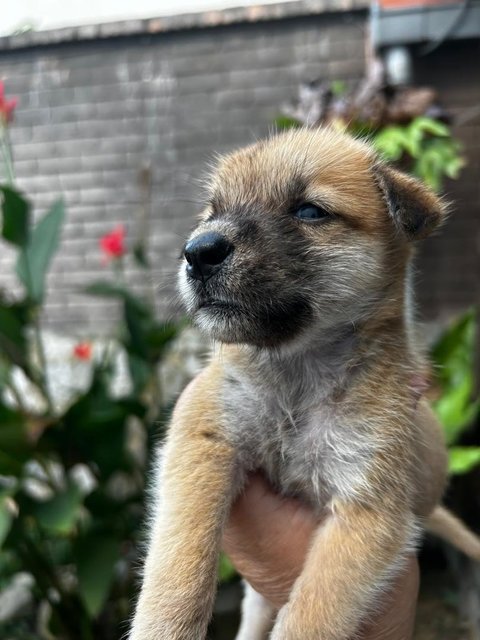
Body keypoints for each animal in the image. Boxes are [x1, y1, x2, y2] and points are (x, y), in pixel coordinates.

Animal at [130, 126, 480, 640]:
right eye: (212, 212)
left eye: (310, 211)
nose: (198, 251)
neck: (297, 374)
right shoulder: (203, 435)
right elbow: (181, 557)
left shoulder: (368, 511)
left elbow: (312, 612)